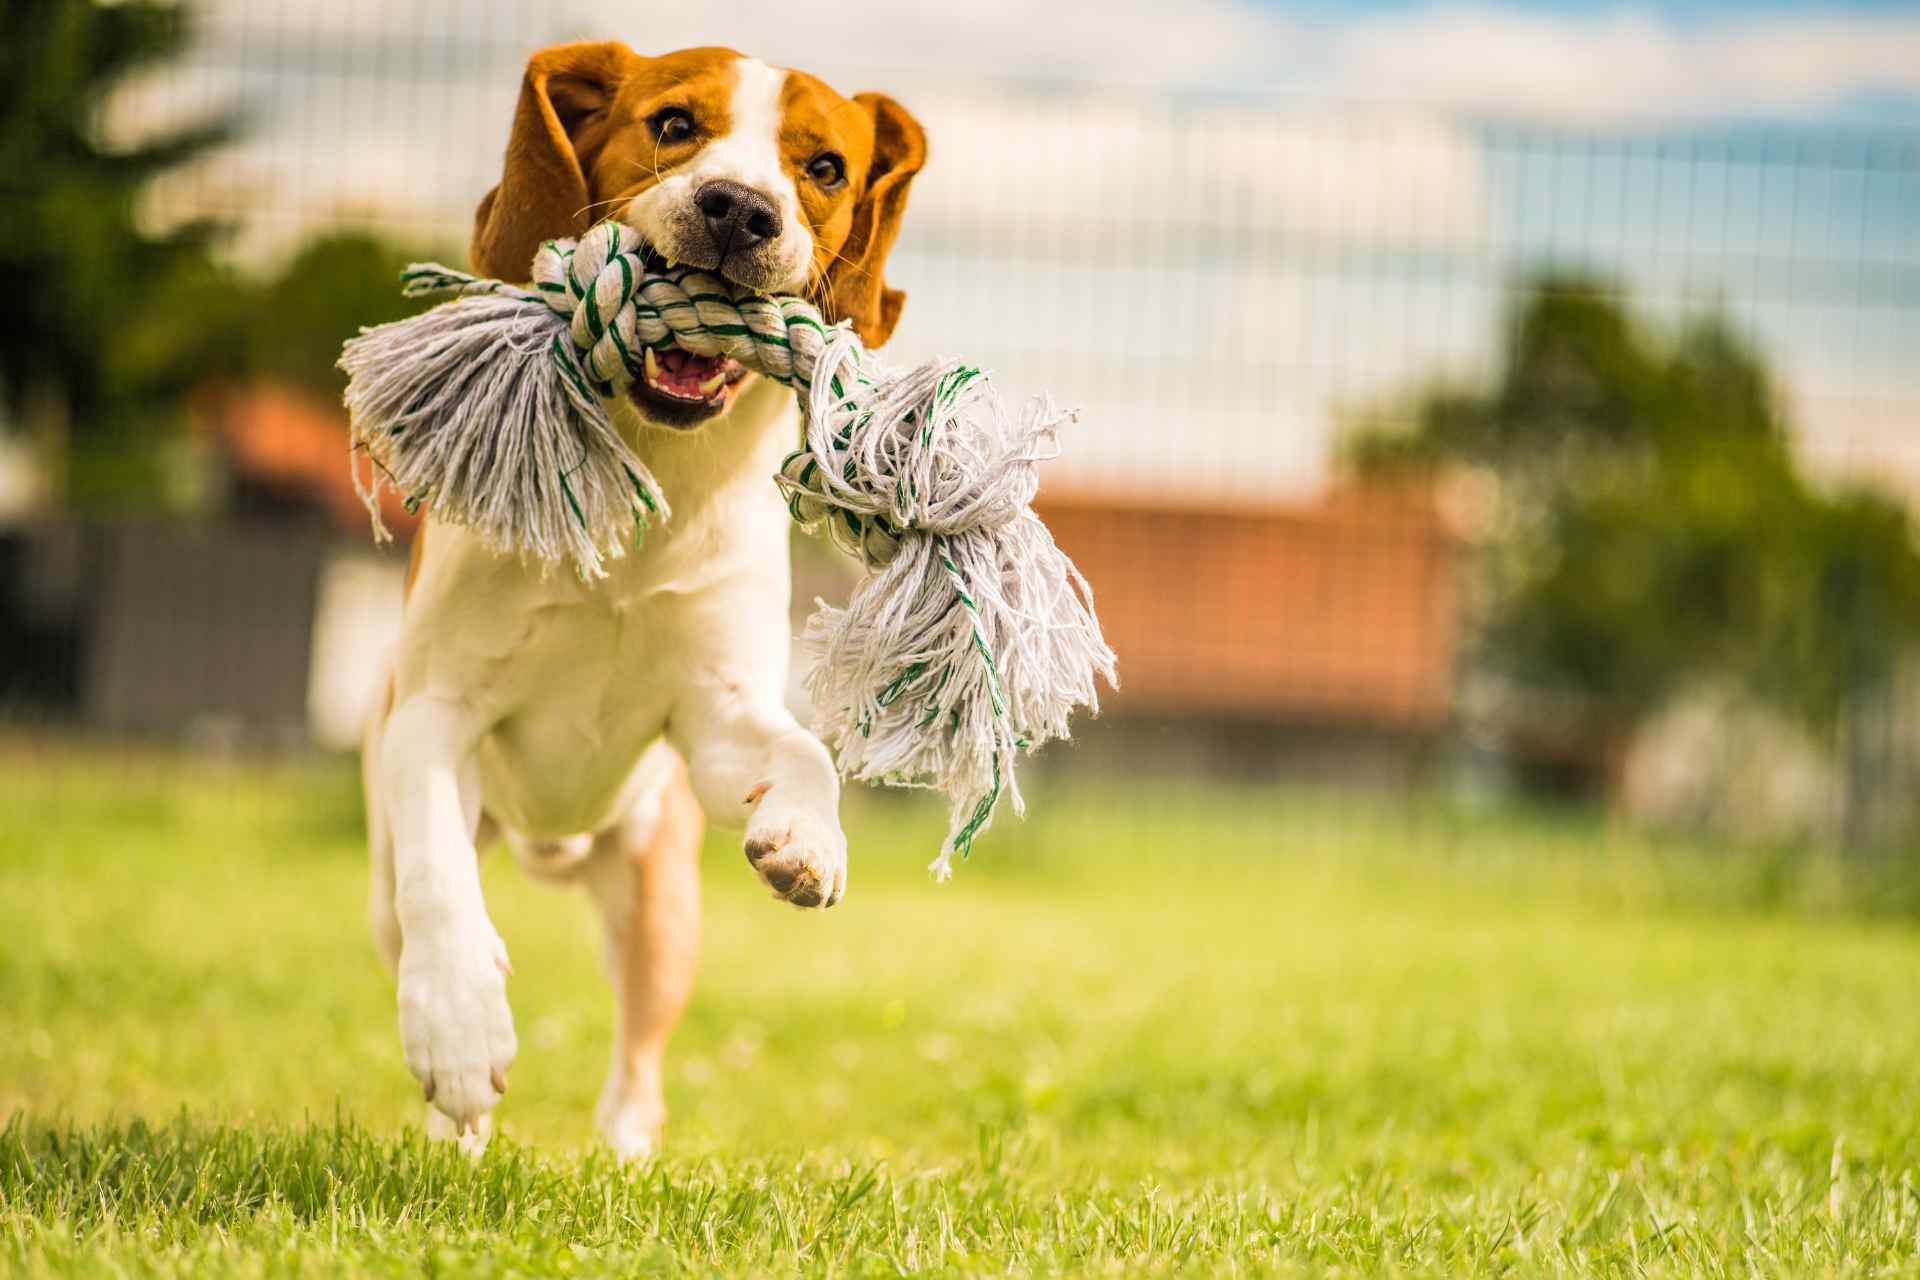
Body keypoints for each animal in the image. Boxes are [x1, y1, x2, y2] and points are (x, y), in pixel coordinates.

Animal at [364, 45, 929, 1159]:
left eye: (825, 167)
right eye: (672, 124)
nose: (740, 209)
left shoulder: (713, 718)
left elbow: (802, 751)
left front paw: (809, 838)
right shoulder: (434, 711)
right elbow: (442, 882)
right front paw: (459, 1030)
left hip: (660, 903)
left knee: (639, 1058)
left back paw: (624, 1158)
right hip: (390, 885)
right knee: (422, 905)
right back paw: (457, 1132)